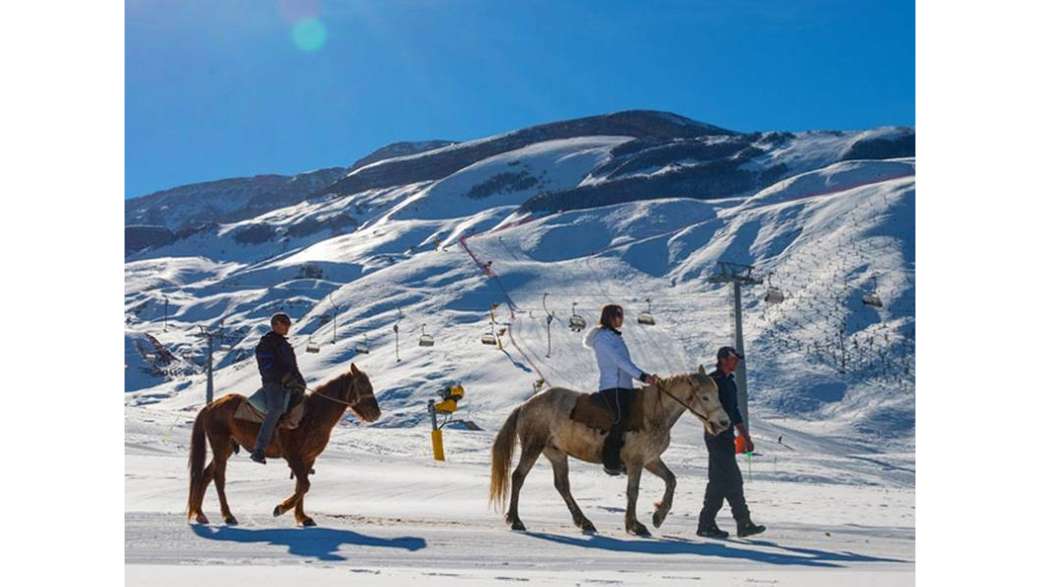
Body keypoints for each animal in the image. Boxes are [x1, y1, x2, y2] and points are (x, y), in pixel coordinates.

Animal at [188, 362, 382, 526]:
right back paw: (228, 516)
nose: (376, 413)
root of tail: (211, 405)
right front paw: (280, 508)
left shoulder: (308, 459)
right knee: (218, 479)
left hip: (226, 448)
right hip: (220, 446)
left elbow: (301, 486)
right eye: (363, 385)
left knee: (205, 475)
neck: (312, 415)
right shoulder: (293, 457)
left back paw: (200, 514)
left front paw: (303, 517)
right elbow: (304, 485)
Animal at [484, 368, 723, 537]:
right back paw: (516, 520)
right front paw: (635, 525)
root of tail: (525, 405)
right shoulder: (636, 462)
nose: (724, 423)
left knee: (562, 486)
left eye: (717, 394)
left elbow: (671, 480)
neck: (653, 413)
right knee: (518, 477)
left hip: (556, 454)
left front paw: (658, 516)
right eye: (705, 397)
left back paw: (585, 522)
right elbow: (633, 492)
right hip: (533, 446)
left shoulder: (651, 460)